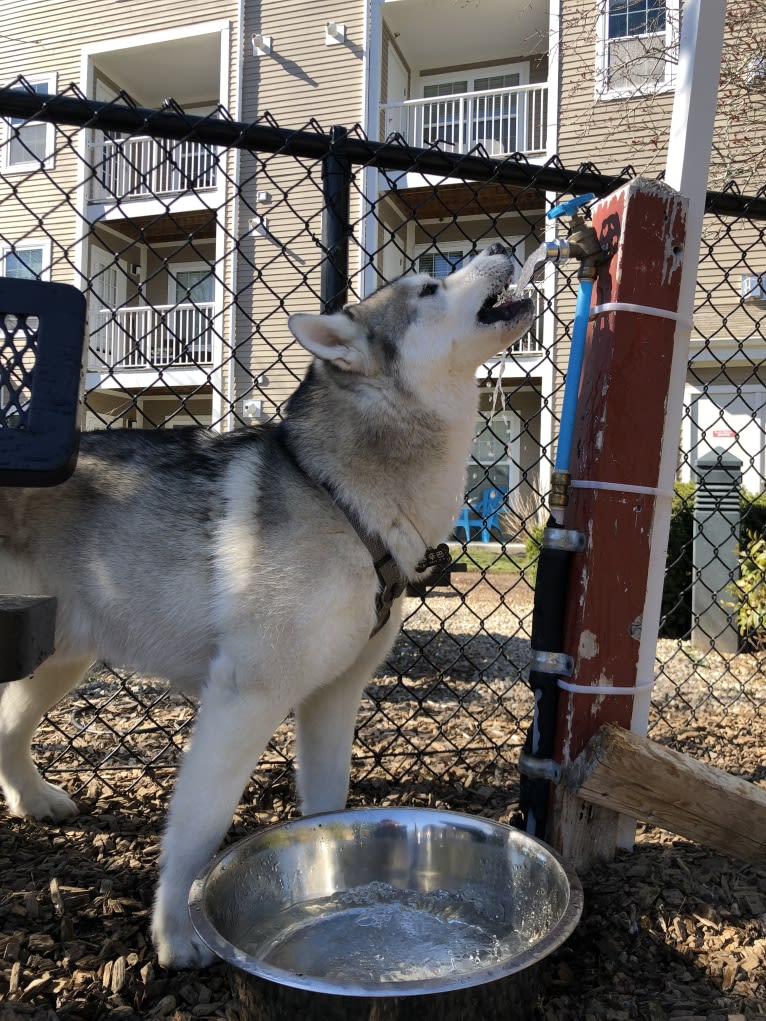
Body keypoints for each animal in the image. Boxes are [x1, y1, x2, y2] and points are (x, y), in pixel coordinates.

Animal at [0, 245, 535, 963]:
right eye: (428, 287)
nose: (502, 251)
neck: (344, 496)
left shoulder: (334, 696)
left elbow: (331, 806)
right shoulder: (244, 698)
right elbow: (198, 830)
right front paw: (175, 934)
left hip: (58, 652)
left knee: (10, 721)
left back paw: (31, 797)